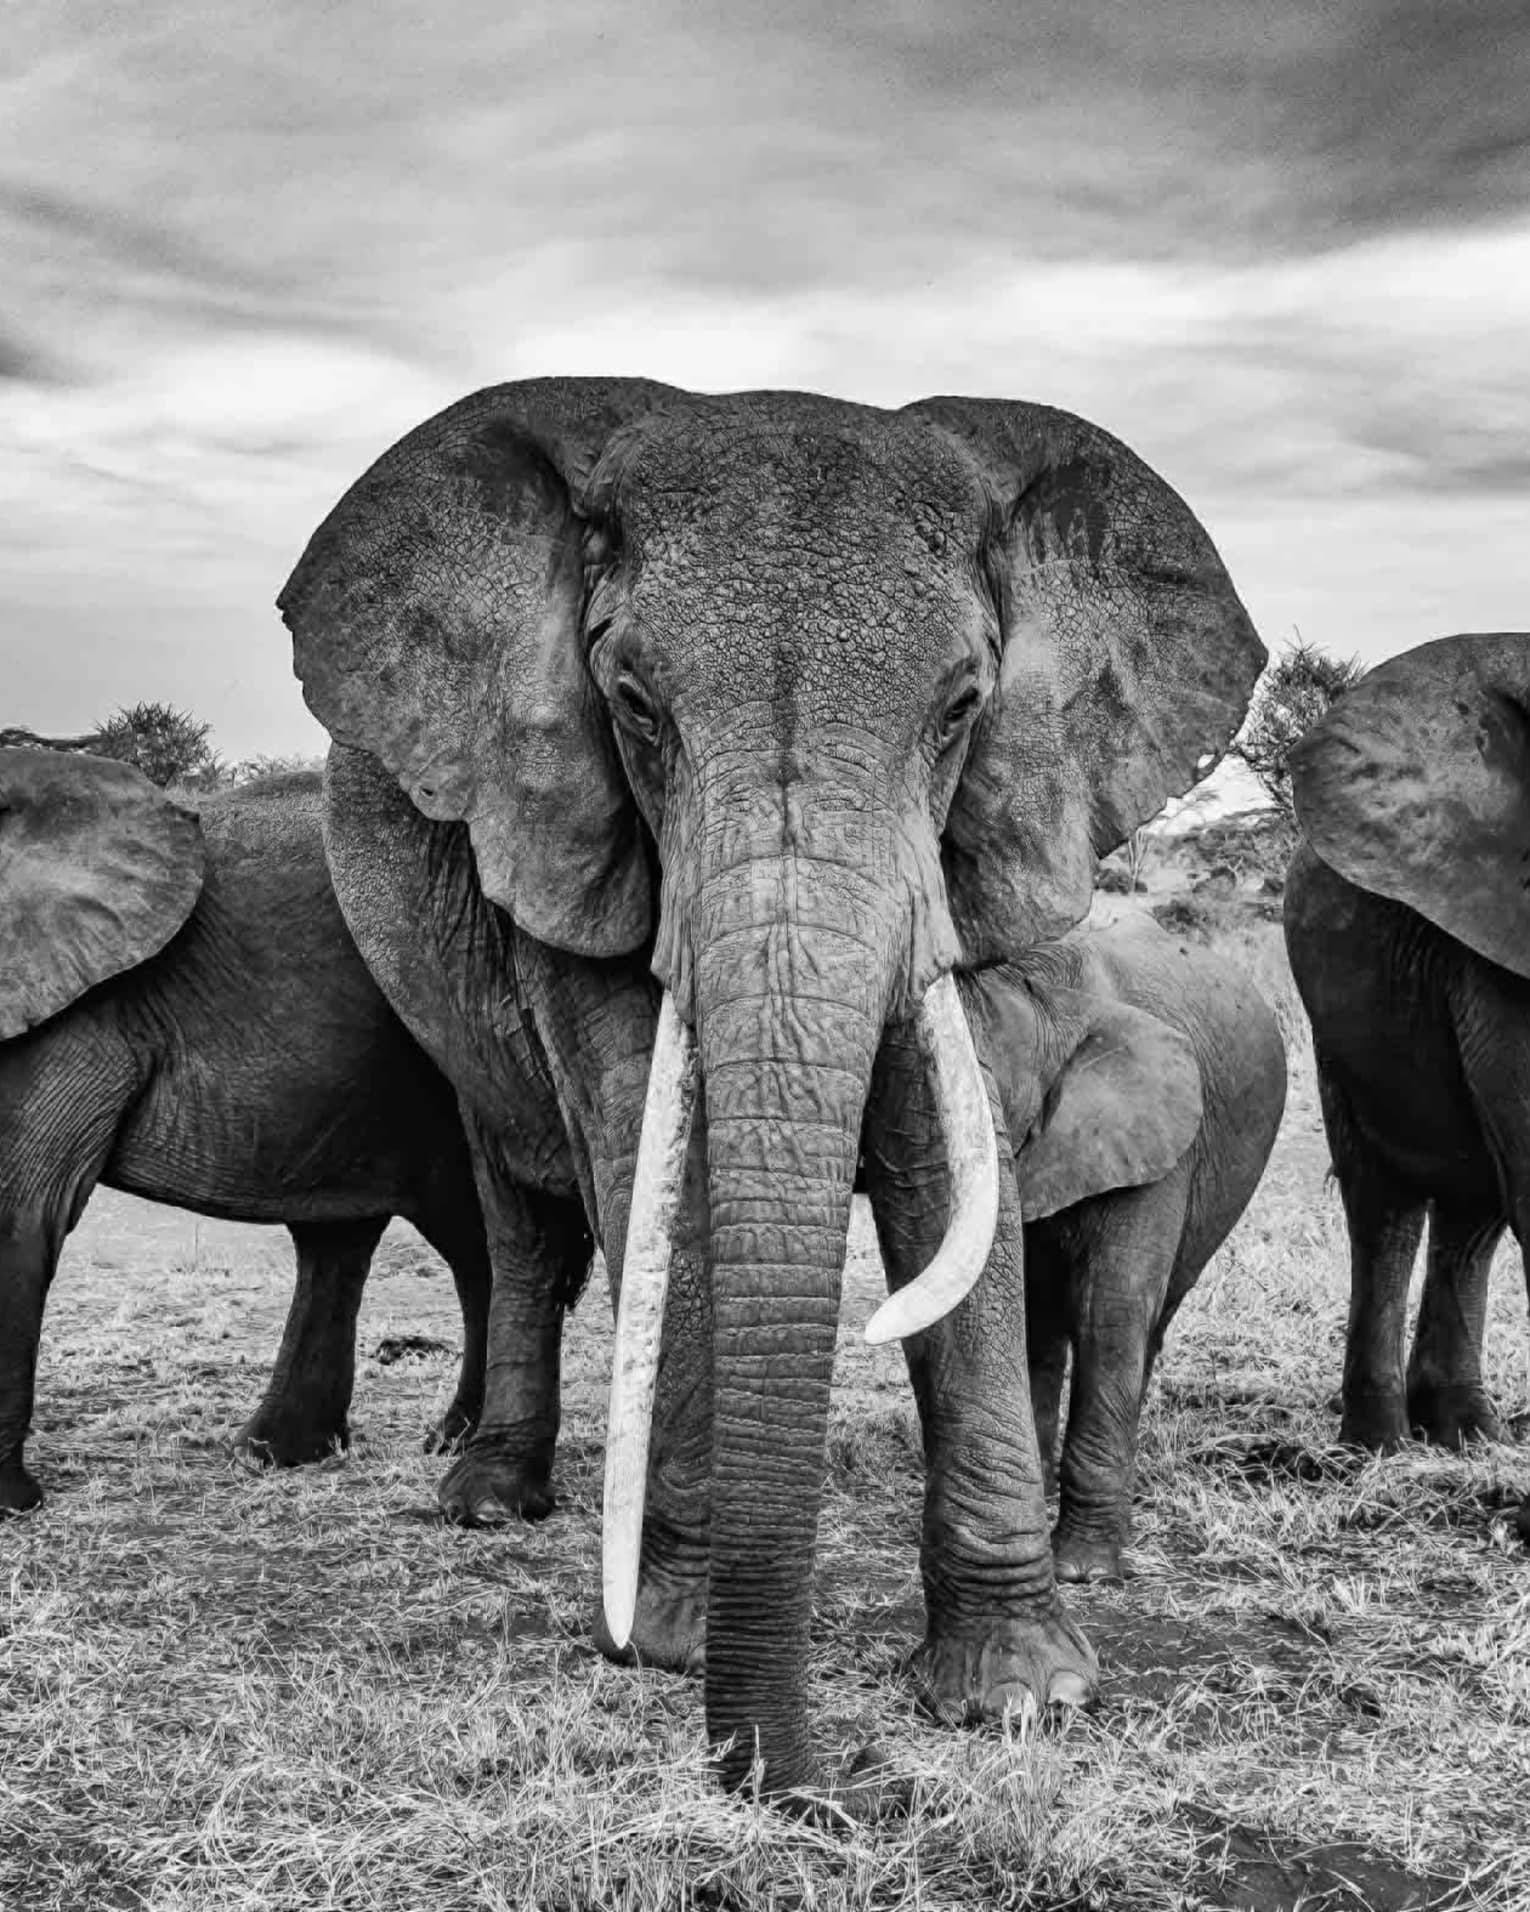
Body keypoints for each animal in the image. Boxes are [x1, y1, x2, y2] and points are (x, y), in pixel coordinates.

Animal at [0, 738, 554, 1514]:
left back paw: (451, 1448)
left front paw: (9, 1505)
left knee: (477, 1243)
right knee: (338, 1239)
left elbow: (19, 1211)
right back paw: (274, 1456)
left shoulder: (79, 1013)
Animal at [277, 369, 1269, 1789]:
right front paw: (673, 1639)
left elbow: (941, 1156)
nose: (797, 1783)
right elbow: (650, 1161)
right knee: (523, 1216)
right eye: (633, 701)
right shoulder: (569, 831)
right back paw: (491, 1502)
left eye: (961, 708)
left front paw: (1021, 1693)